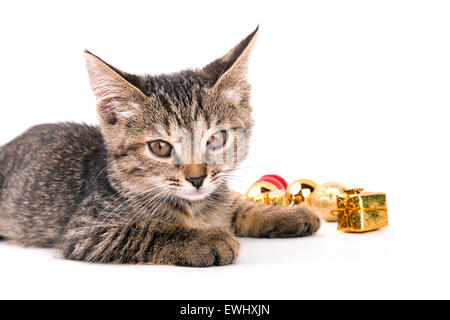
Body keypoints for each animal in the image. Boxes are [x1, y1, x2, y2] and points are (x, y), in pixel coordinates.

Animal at [0, 28, 320, 268]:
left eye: (216, 139)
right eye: (160, 148)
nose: (197, 178)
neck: (194, 209)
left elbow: (235, 203)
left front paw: (282, 213)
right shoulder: (84, 230)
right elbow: (145, 229)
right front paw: (205, 239)